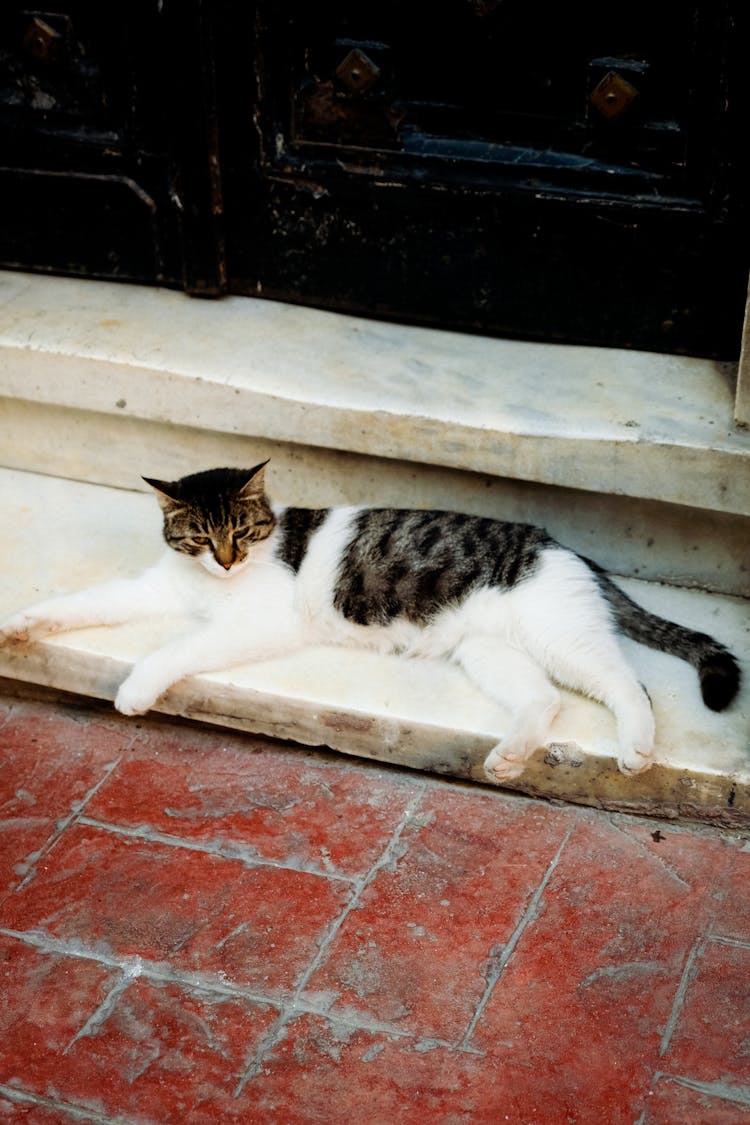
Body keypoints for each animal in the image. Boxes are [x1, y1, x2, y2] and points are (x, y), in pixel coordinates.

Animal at [0, 459, 737, 783]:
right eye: (202, 536)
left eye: (241, 530)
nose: (229, 560)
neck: (215, 581)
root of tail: (568, 551)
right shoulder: (156, 587)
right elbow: (87, 602)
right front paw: (20, 626)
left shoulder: (257, 624)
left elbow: (177, 648)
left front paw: (134, 689)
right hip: (490, 651)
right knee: (544, 701)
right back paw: (508, 756)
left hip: (559, 637)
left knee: (628, 685)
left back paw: (636, 747)